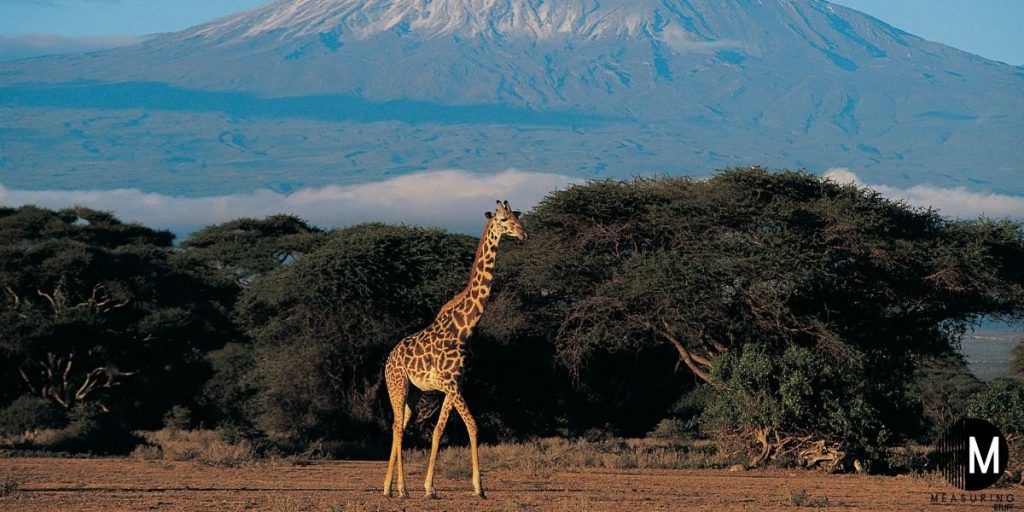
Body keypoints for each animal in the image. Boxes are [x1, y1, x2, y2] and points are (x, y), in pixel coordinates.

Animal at [382, 199, 527, 499]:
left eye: (518, 217)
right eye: (503, 219)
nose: (523, 234)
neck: (465, 327)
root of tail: (388, 359)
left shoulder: (455, 384)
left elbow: (438, 430)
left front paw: (429, 487)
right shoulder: (450, 384)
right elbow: (473, 425)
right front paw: (479, 488)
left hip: (413, 392)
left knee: (400, 425)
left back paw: (391, 487)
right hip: (397, 385)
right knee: (397, 427)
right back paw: (399, 489)